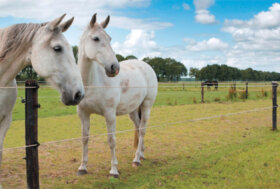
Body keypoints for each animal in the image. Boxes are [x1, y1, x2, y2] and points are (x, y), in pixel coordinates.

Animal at [77, 14, 158, 178]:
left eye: (109, 38)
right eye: (96, 38)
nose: (114, 68)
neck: (92, 83)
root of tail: (146, 66)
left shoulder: (110, 114)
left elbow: (111, 140)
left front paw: (114, 170)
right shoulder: (83, 114)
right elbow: (84, 139)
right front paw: (83, 167)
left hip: (146, 106)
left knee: (142, 129)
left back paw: (136, 160)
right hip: (133, 110)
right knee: (137, 127)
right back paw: (140, 154)